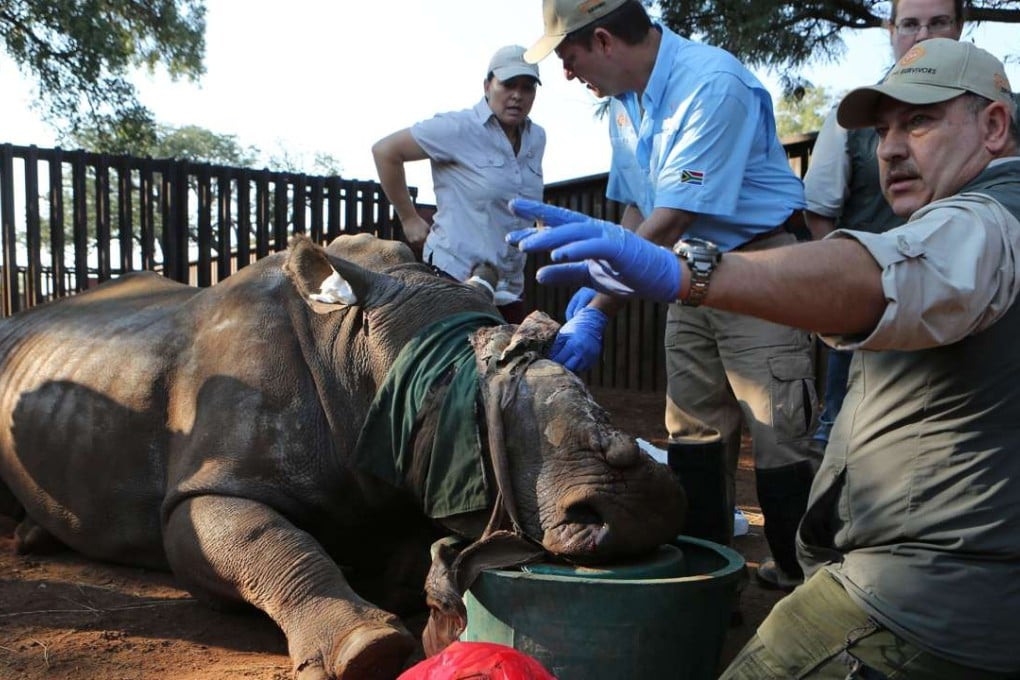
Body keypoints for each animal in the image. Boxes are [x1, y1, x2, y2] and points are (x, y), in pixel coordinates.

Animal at [0, 233, 685, 679]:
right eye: (447, 396)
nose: (636, 508)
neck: (352, 353)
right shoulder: (206, 488)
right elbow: (265, 539)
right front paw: (369, 652)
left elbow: (411, 548)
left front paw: (403, 584)